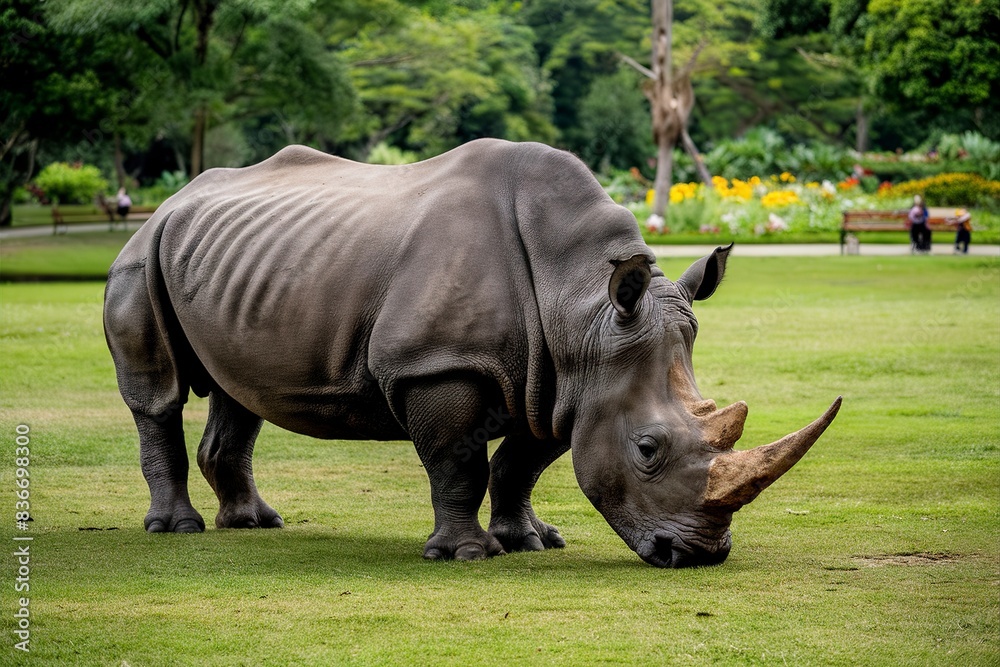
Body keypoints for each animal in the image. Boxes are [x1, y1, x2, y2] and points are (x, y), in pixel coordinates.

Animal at [104, 139, 840, 568]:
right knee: (159, 395)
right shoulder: (436, 365)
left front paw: (530, 541)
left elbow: (522, 463)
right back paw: (176, 530)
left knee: (238, 393)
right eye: (648, 449)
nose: (698, 555)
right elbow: (459, 462)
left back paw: (255, 525)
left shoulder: (563, 382)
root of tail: (171, 200)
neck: (581, 306)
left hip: (239, 262)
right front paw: (467, 554)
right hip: (140, 254)